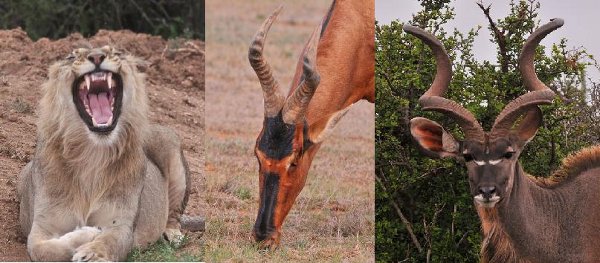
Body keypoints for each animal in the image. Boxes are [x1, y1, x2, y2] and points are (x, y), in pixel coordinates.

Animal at [17, 45, 190, 262]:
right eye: (72, 56)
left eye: (116, 52)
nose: (97, 56)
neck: (91, 152)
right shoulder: (42, 225)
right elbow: (45, 250)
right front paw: (87, 233)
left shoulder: (122, 224)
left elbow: (108, 241)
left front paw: (92, 252)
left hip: (172, 149)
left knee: (174, 215)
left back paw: (173, 235)